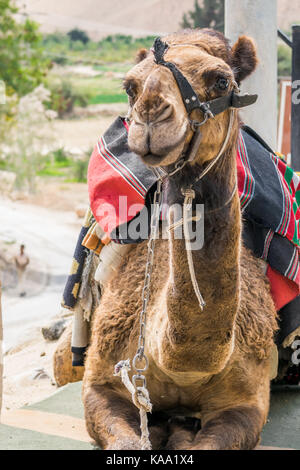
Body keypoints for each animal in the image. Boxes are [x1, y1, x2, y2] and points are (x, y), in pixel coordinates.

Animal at [81, 28, 278, 448]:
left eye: (221, 80)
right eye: (130, 87)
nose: (152, 114)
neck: (180, 366)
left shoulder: (248, 402)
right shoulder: (100, 383)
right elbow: (126, 438)